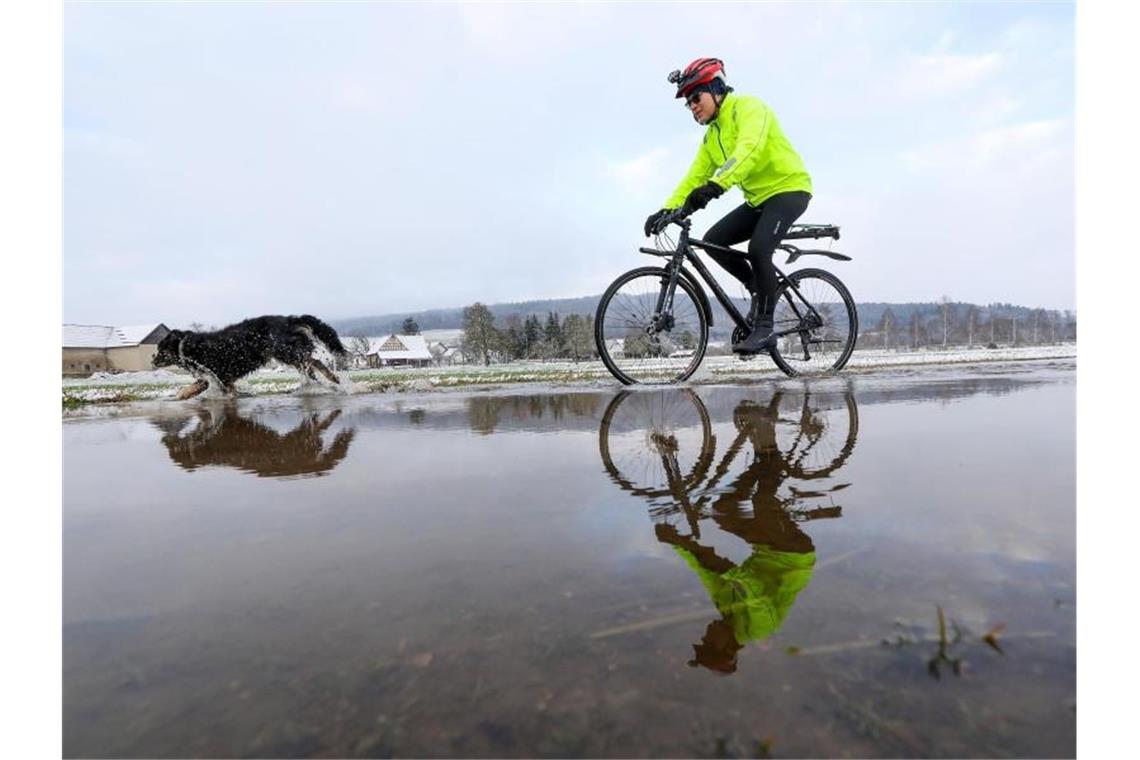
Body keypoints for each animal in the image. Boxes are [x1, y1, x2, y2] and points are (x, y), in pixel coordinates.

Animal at [152, 314, 346, 401]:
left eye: (161, 349)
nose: (152, 360)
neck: (186, 346)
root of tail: (289, 319)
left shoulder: (215, 375)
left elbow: (188, 389)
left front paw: (176, 398)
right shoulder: (223, 379)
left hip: (286, 352)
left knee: (315, 362)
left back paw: (333, 378)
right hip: (291, 355)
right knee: (310, 369)